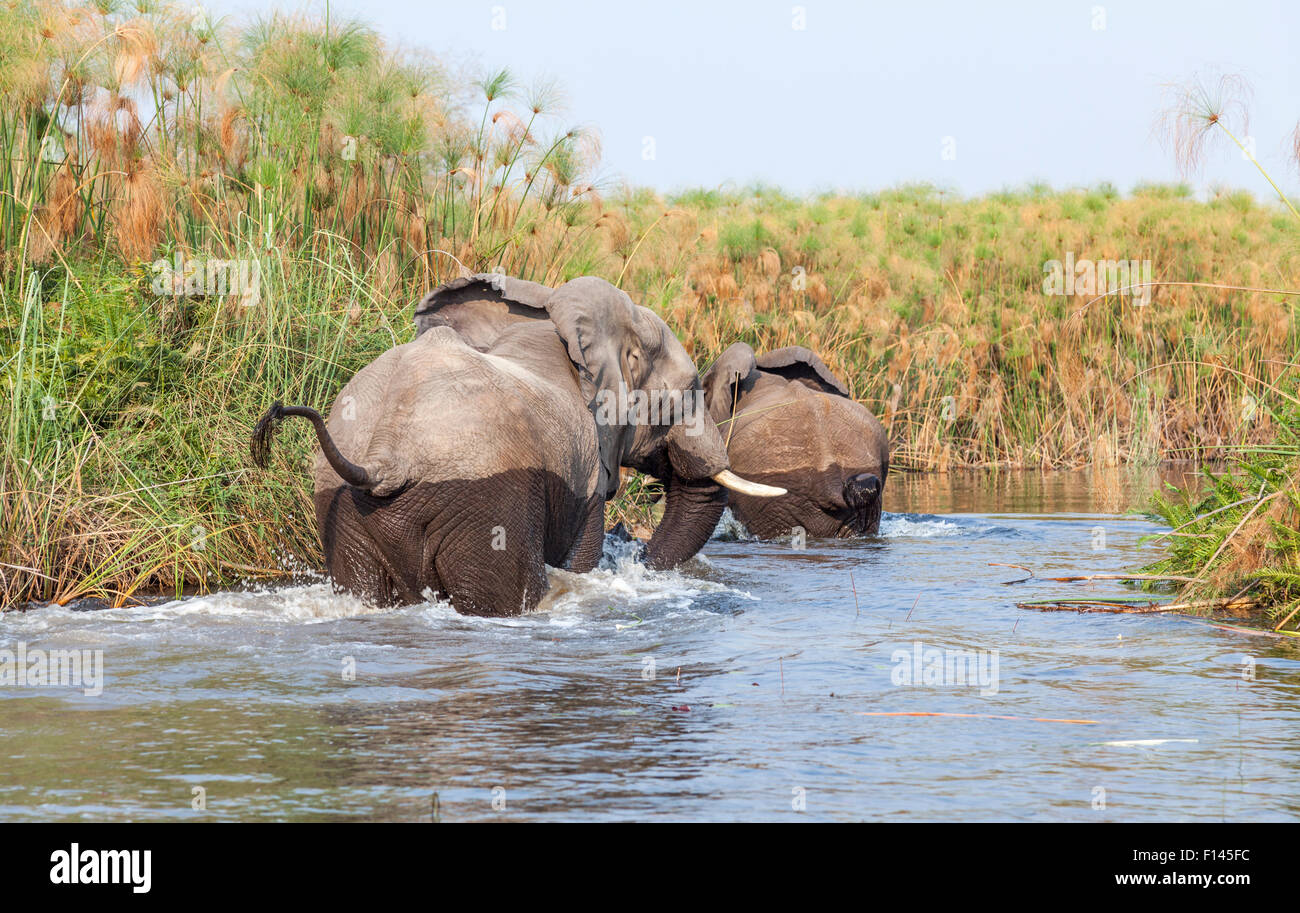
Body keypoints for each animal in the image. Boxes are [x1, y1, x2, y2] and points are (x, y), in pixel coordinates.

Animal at [252, 271, 780, 613]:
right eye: (689, 390)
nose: (636, 550)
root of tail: (385, 455)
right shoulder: (584, 477)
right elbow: (580, 555)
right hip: (486, 503)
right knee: (505, 598)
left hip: (342, 508)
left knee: (362, 590)